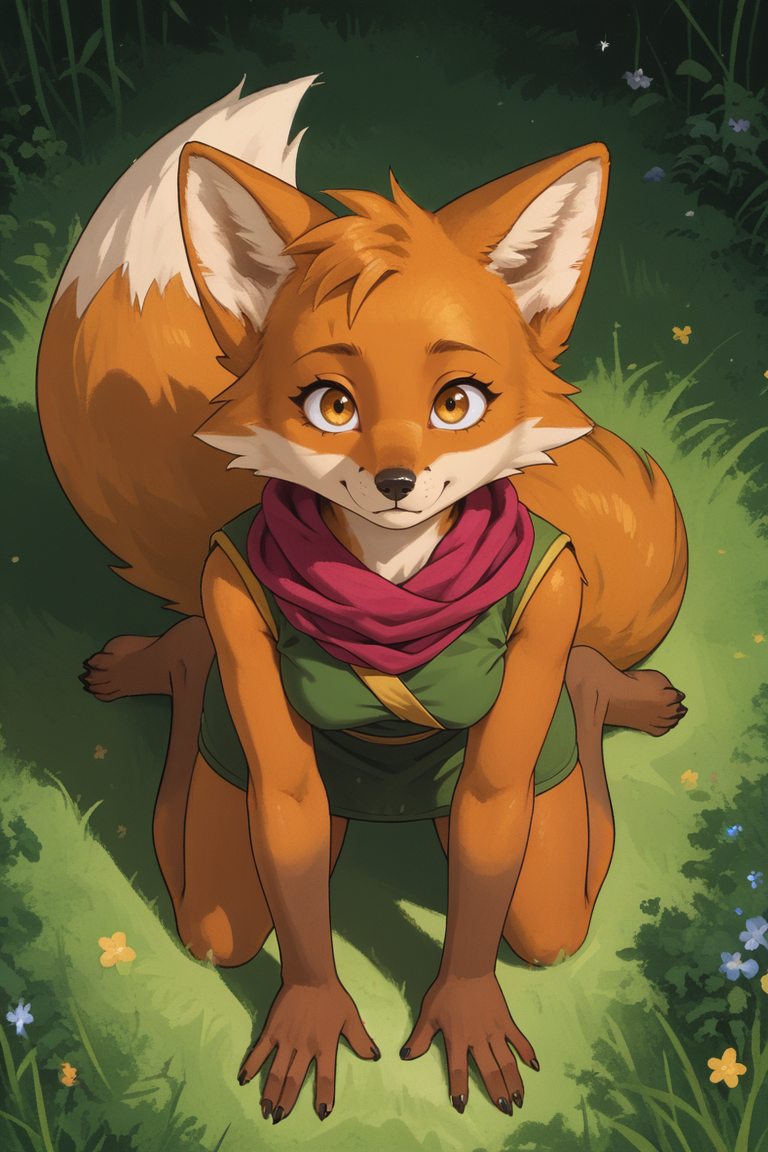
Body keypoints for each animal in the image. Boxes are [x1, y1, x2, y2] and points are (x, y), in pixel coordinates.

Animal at [37, 74, 688, 1124]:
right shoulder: (234, 606)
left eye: (456, 402)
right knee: (219, 905)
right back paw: (150, 661)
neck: (392, 589)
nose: (394, 480)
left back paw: (624, 690)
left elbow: (493, 833)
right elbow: (288, 827)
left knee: (552, 888)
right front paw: (312, 1011)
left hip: (548, 831)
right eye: (331, 404)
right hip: (220, 811)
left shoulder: (546, 619)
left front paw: (464, 1005)